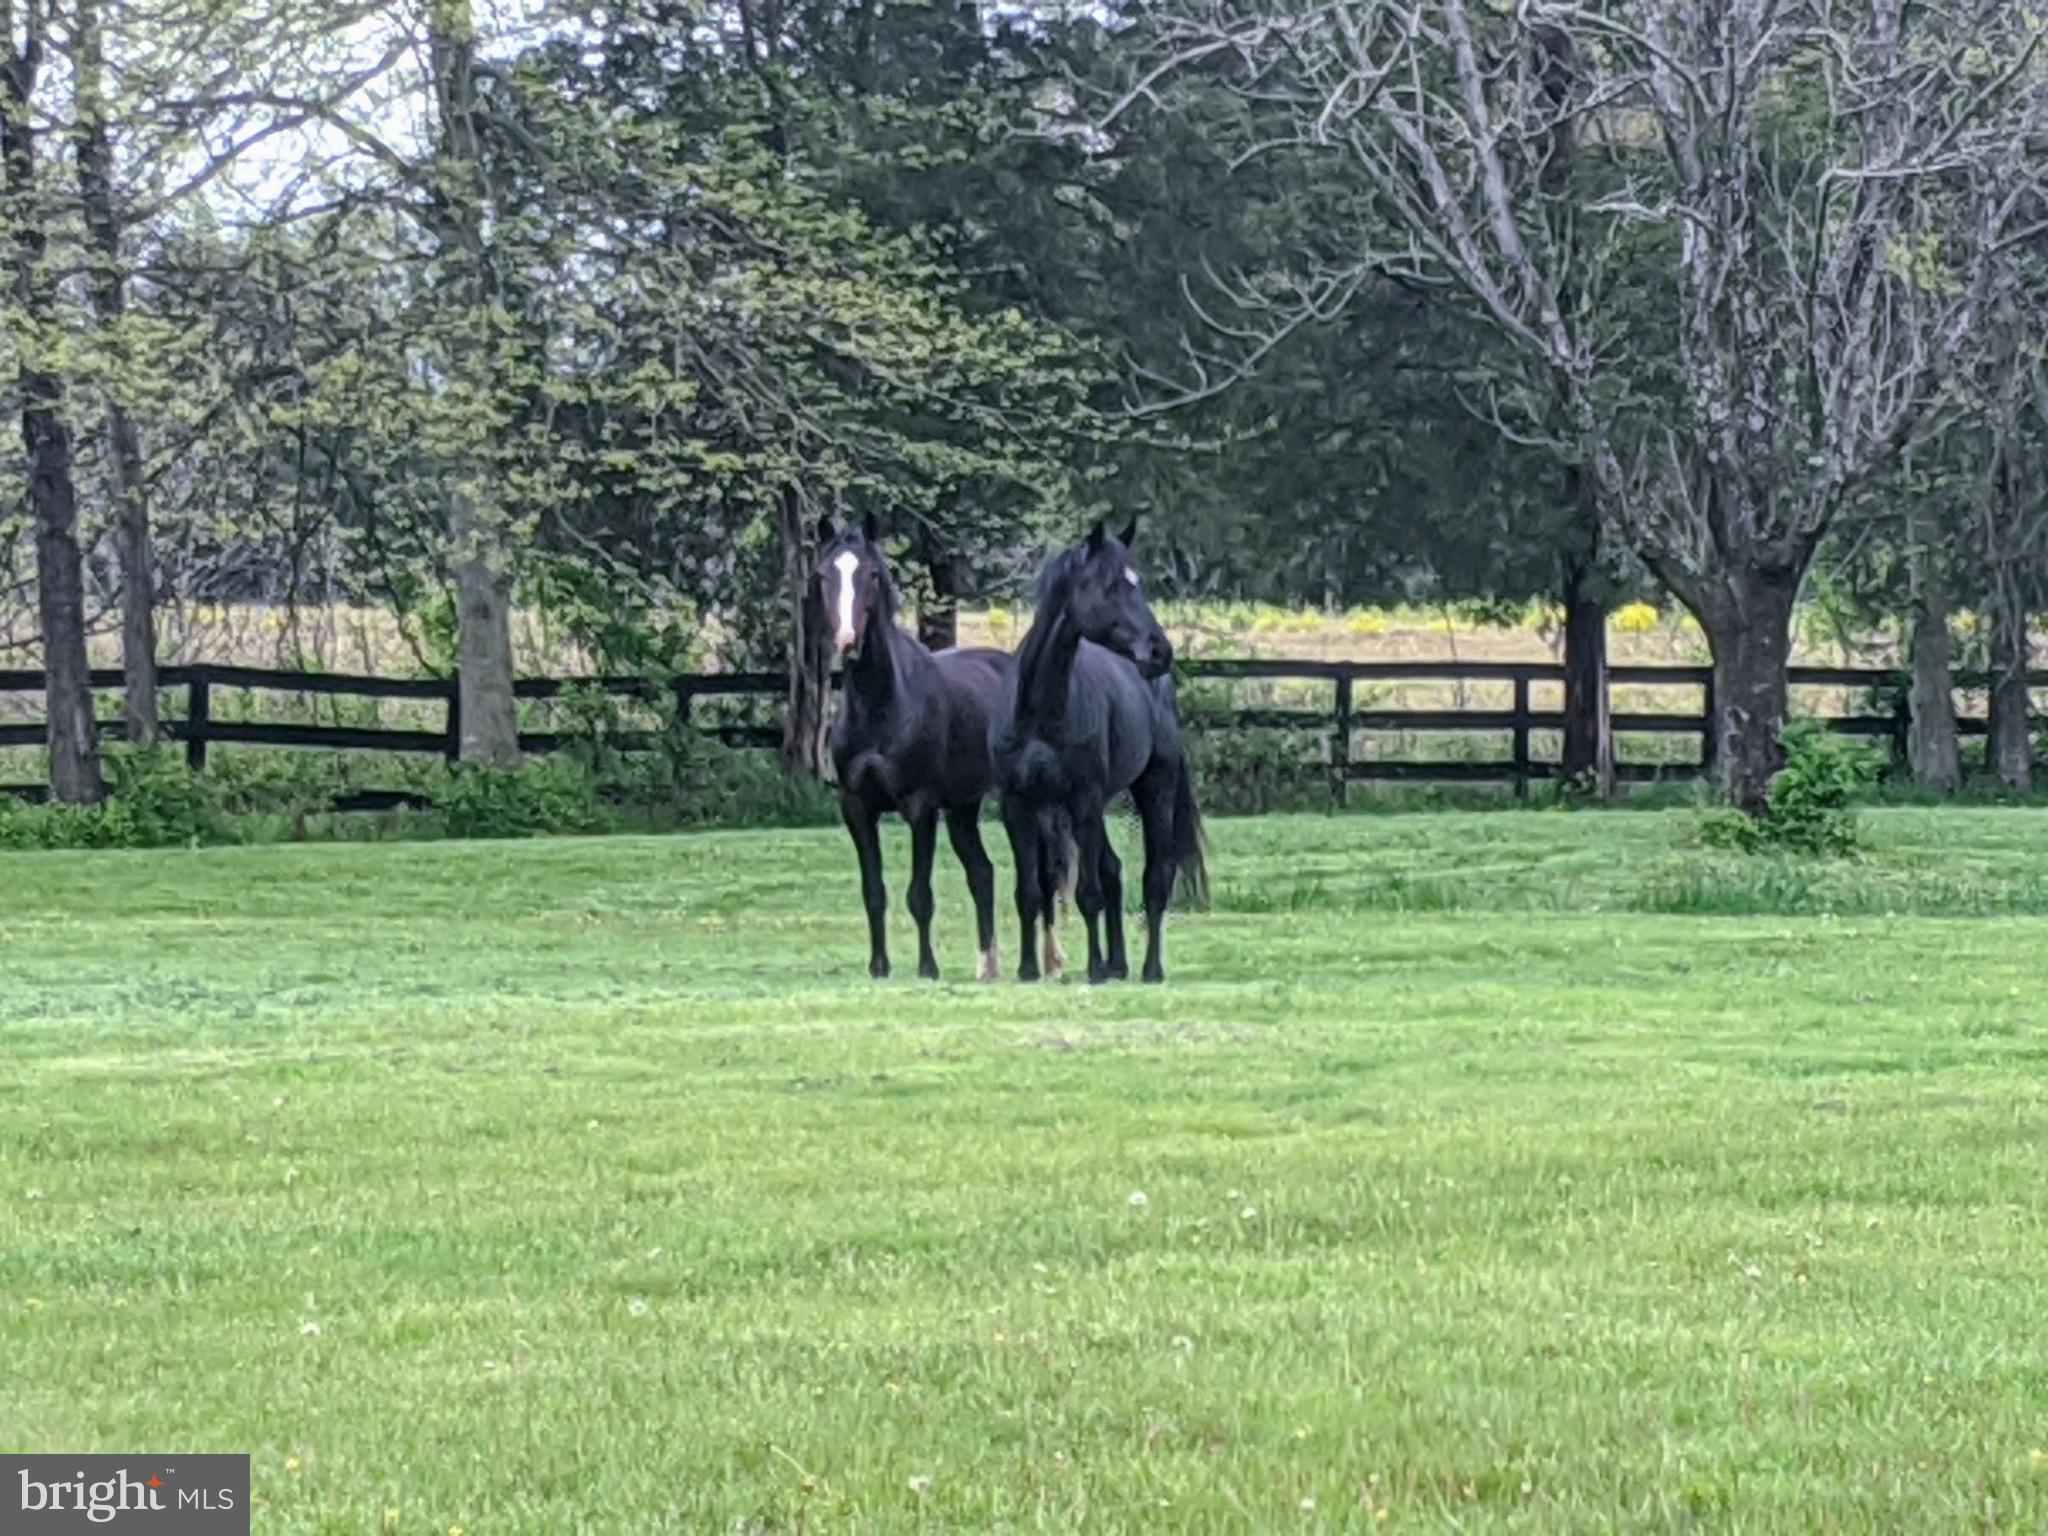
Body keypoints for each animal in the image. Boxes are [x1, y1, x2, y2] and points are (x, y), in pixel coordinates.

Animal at [818, 512, 1017, 982]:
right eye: (825, 575)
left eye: (872, 574)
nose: (848, 642)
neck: (881, 706)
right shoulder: (856, 807)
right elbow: (874, 891)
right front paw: (879, 967)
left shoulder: (920, 807)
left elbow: (919, 895)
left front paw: (928, 968)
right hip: (963, 808)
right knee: (982, 874)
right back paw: (987, 966)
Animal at [990, 517, 1207, 985]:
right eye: (1111, 586)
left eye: (1138, 581)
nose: (1159, 650)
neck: (1039, 711)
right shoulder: (1017, 804)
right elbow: (1029, 892)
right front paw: (1028, 970)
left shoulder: (1083, 800)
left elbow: (1089, 894)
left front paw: (1092, 968)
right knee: (1113, 870)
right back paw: (1118, 965)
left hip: (1153, 788)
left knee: (1155, 877)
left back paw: (1149, 969)